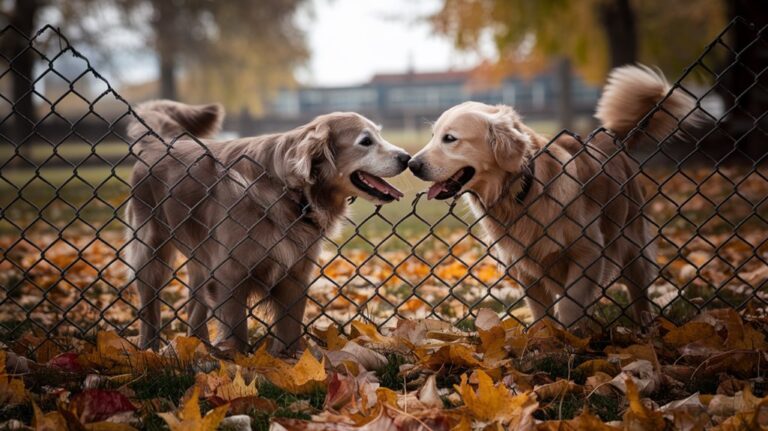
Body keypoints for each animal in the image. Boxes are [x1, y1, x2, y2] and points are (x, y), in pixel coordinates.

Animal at [125, 99, 412, 352]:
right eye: (366, 141)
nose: (407, 158)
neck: (292, 191)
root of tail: (158, 143)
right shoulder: (230, 276)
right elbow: (237, 334)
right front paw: (238, 363)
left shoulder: (295, 275)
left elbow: (289, 333)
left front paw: (291, 364)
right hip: (151, 255)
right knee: (150, 311)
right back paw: (149, 351)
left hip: (201, 263)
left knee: (194, 311)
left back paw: (196, 350)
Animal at [412, 65, 700, 328]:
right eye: (433, 136)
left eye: (450, 139)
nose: (412, 164)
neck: (523, 193)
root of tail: (611, 139)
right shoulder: (526, 270)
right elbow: (543, 315)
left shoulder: (588, 254)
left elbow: (570, 308)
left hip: (632, 247)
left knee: (639, 294)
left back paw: (645, 327)